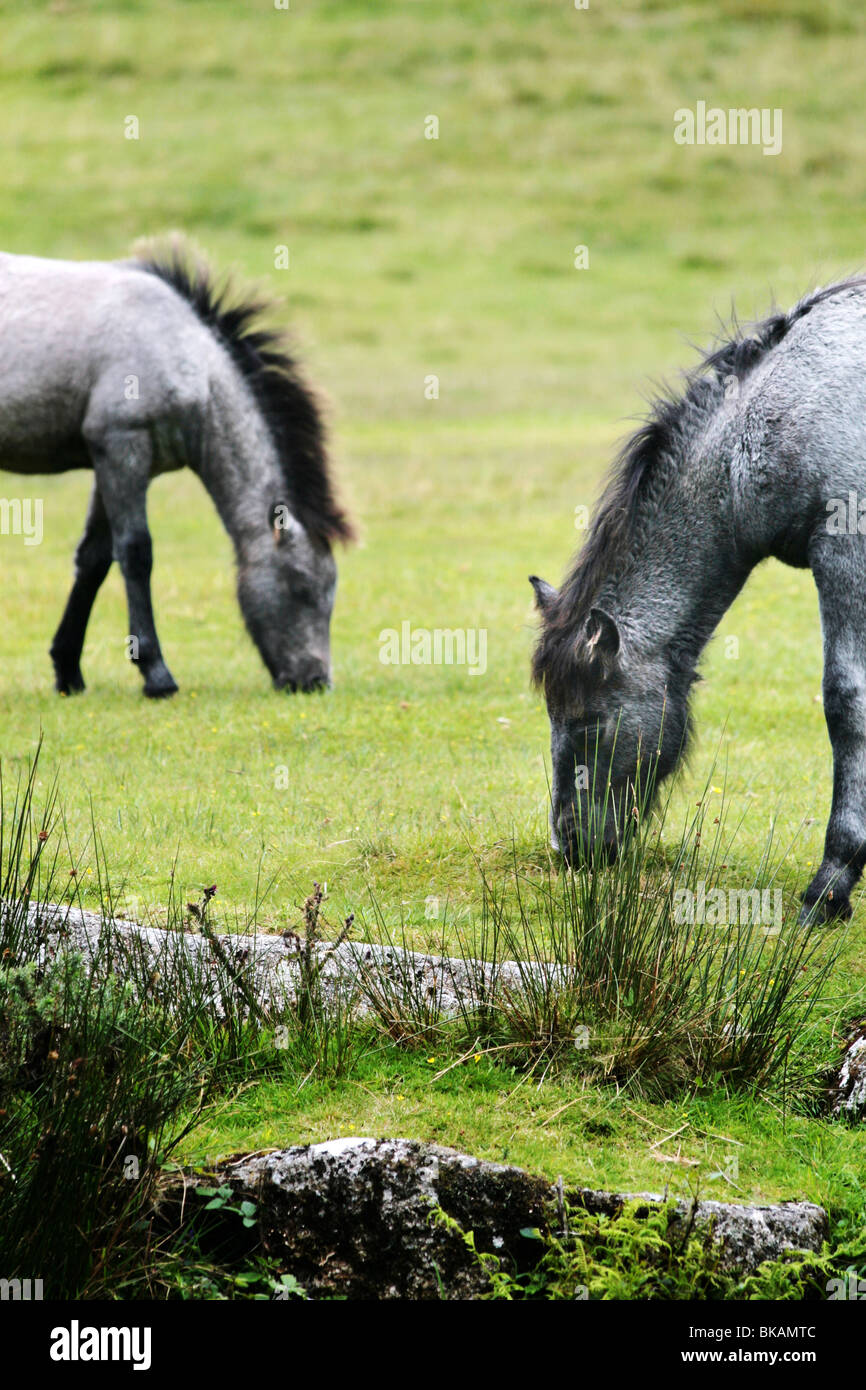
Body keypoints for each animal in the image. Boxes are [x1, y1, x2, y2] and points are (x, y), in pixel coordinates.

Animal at [0, 243, 353, 700]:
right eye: (301, 587)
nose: (314, 681)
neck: (181, 351)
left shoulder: (118, 462)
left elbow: (94, 560)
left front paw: (68, 671)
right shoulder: (123, 447)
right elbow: (135, 552)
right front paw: (156, 674)